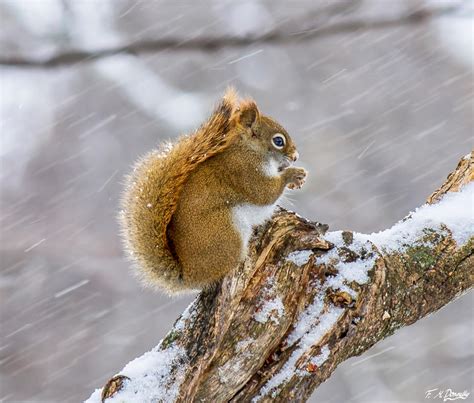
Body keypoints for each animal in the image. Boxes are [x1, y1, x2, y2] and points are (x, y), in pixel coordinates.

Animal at [119, 88, 308, 296]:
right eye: (278, 141)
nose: (295, 157)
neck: (248, 149)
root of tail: (189, 275)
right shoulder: (244, 171)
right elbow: (264, 193)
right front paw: (293, 174)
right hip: (226, 230)